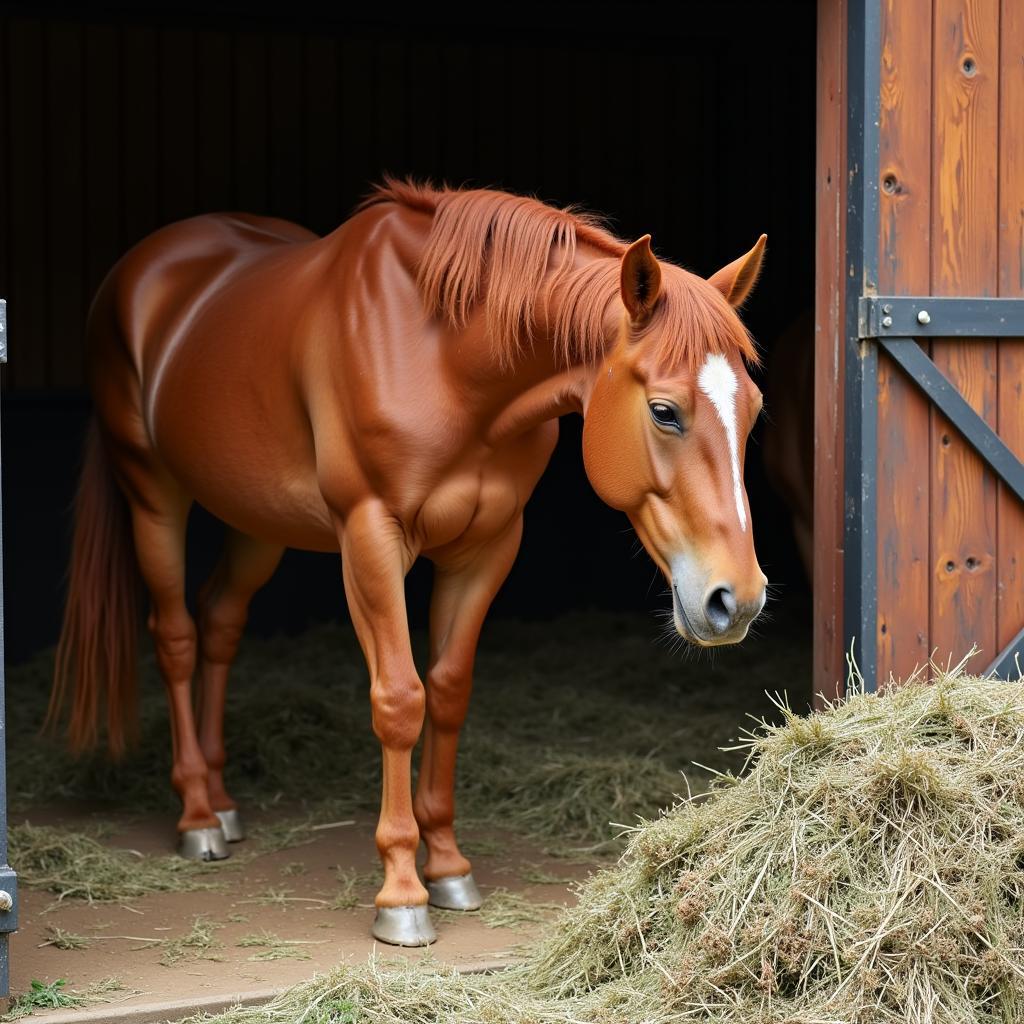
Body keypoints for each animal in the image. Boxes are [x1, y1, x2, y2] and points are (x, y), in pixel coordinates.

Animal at [49, 180, 770, 946]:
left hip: (256, 523)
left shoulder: (490, 545)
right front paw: (400, 892)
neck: (445, 359)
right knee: (178, 639)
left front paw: (448, 866)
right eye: (664, 411)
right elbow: (399, 699)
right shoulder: (370, 537)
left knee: (219, 625)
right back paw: (195, 818)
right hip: (153, 496)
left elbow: (448, 693)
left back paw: (221, 801)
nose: (738, 599)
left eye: (753, 410)